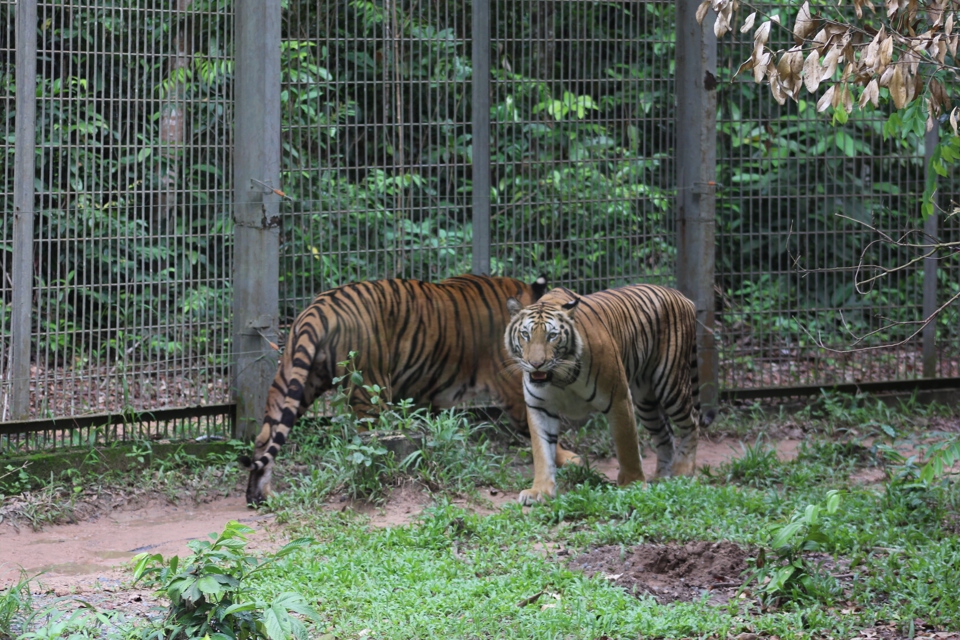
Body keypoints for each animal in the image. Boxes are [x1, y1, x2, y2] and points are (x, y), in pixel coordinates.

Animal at [244, 274, 580, 504]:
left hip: (292, 382)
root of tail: (317, 308)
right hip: (370, 390)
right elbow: (541, 429)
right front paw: (569, 459)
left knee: (265, 438)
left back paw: (259, 496)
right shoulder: (515, 385)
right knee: (367, 442)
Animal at [502, 284, 712, 504]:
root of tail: (681, 296)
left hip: (671, 382)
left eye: (552, 336)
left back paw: (682, 472)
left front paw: (633, 486)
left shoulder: (618, 398)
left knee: (692, 422)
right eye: (525, 334)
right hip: (645, 400)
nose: (536, 364)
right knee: (665, 435)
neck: (559, 377)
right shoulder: (540, 406)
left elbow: (627, 445)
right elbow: (542, 451)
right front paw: (539, 491)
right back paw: (662, 478)